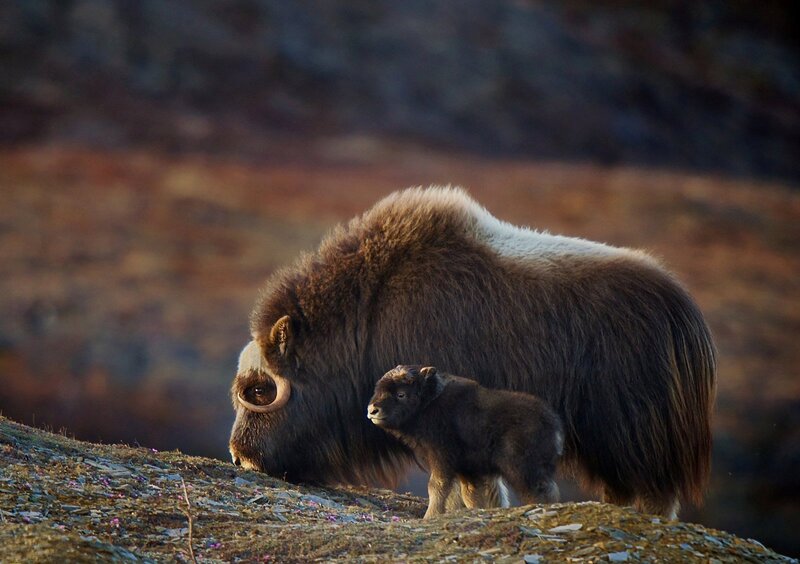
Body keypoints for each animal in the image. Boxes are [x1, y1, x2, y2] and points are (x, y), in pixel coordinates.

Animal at [228, 186, 716, 518]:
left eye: (259, 391)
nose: (239, 456)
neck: (366, 313)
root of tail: (685, 313)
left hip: (635, 437)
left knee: (654, 493)